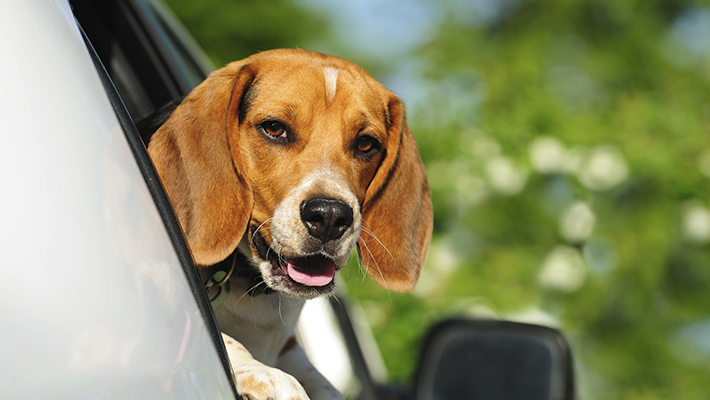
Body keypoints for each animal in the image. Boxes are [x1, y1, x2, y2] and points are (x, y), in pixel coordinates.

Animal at [147, 50, 432, 400]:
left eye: (366, 144)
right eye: (274, 128)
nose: (330, 216)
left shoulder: (289, 347)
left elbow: (322, 382)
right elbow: (224, 340)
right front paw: (270, 377)